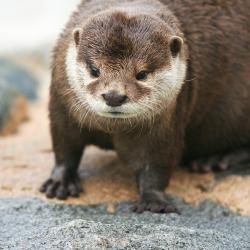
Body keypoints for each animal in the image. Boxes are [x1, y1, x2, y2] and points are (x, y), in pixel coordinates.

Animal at [39, 0, 250, 213]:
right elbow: (64, 144)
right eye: (94, 70)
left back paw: (218, 158)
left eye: (142, 74)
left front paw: (153, 199)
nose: (114, 96)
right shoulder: (62, 105)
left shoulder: (166, 121)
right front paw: (61, 181)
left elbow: (157, 161)